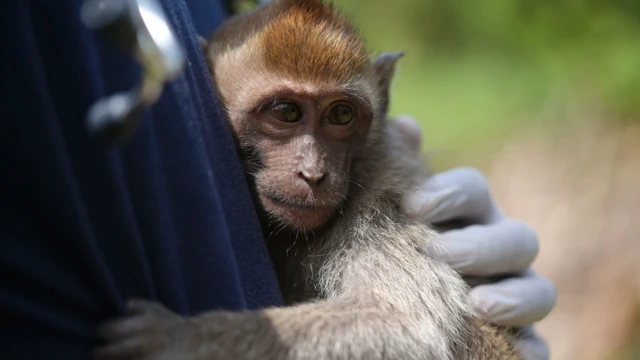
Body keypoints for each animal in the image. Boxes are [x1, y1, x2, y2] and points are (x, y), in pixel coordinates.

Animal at [96, 0, 520, 360]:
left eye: (342, 115)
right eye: (286, 111)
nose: (313, 172)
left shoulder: (383, 198)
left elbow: (404, 325)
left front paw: (184, 338)